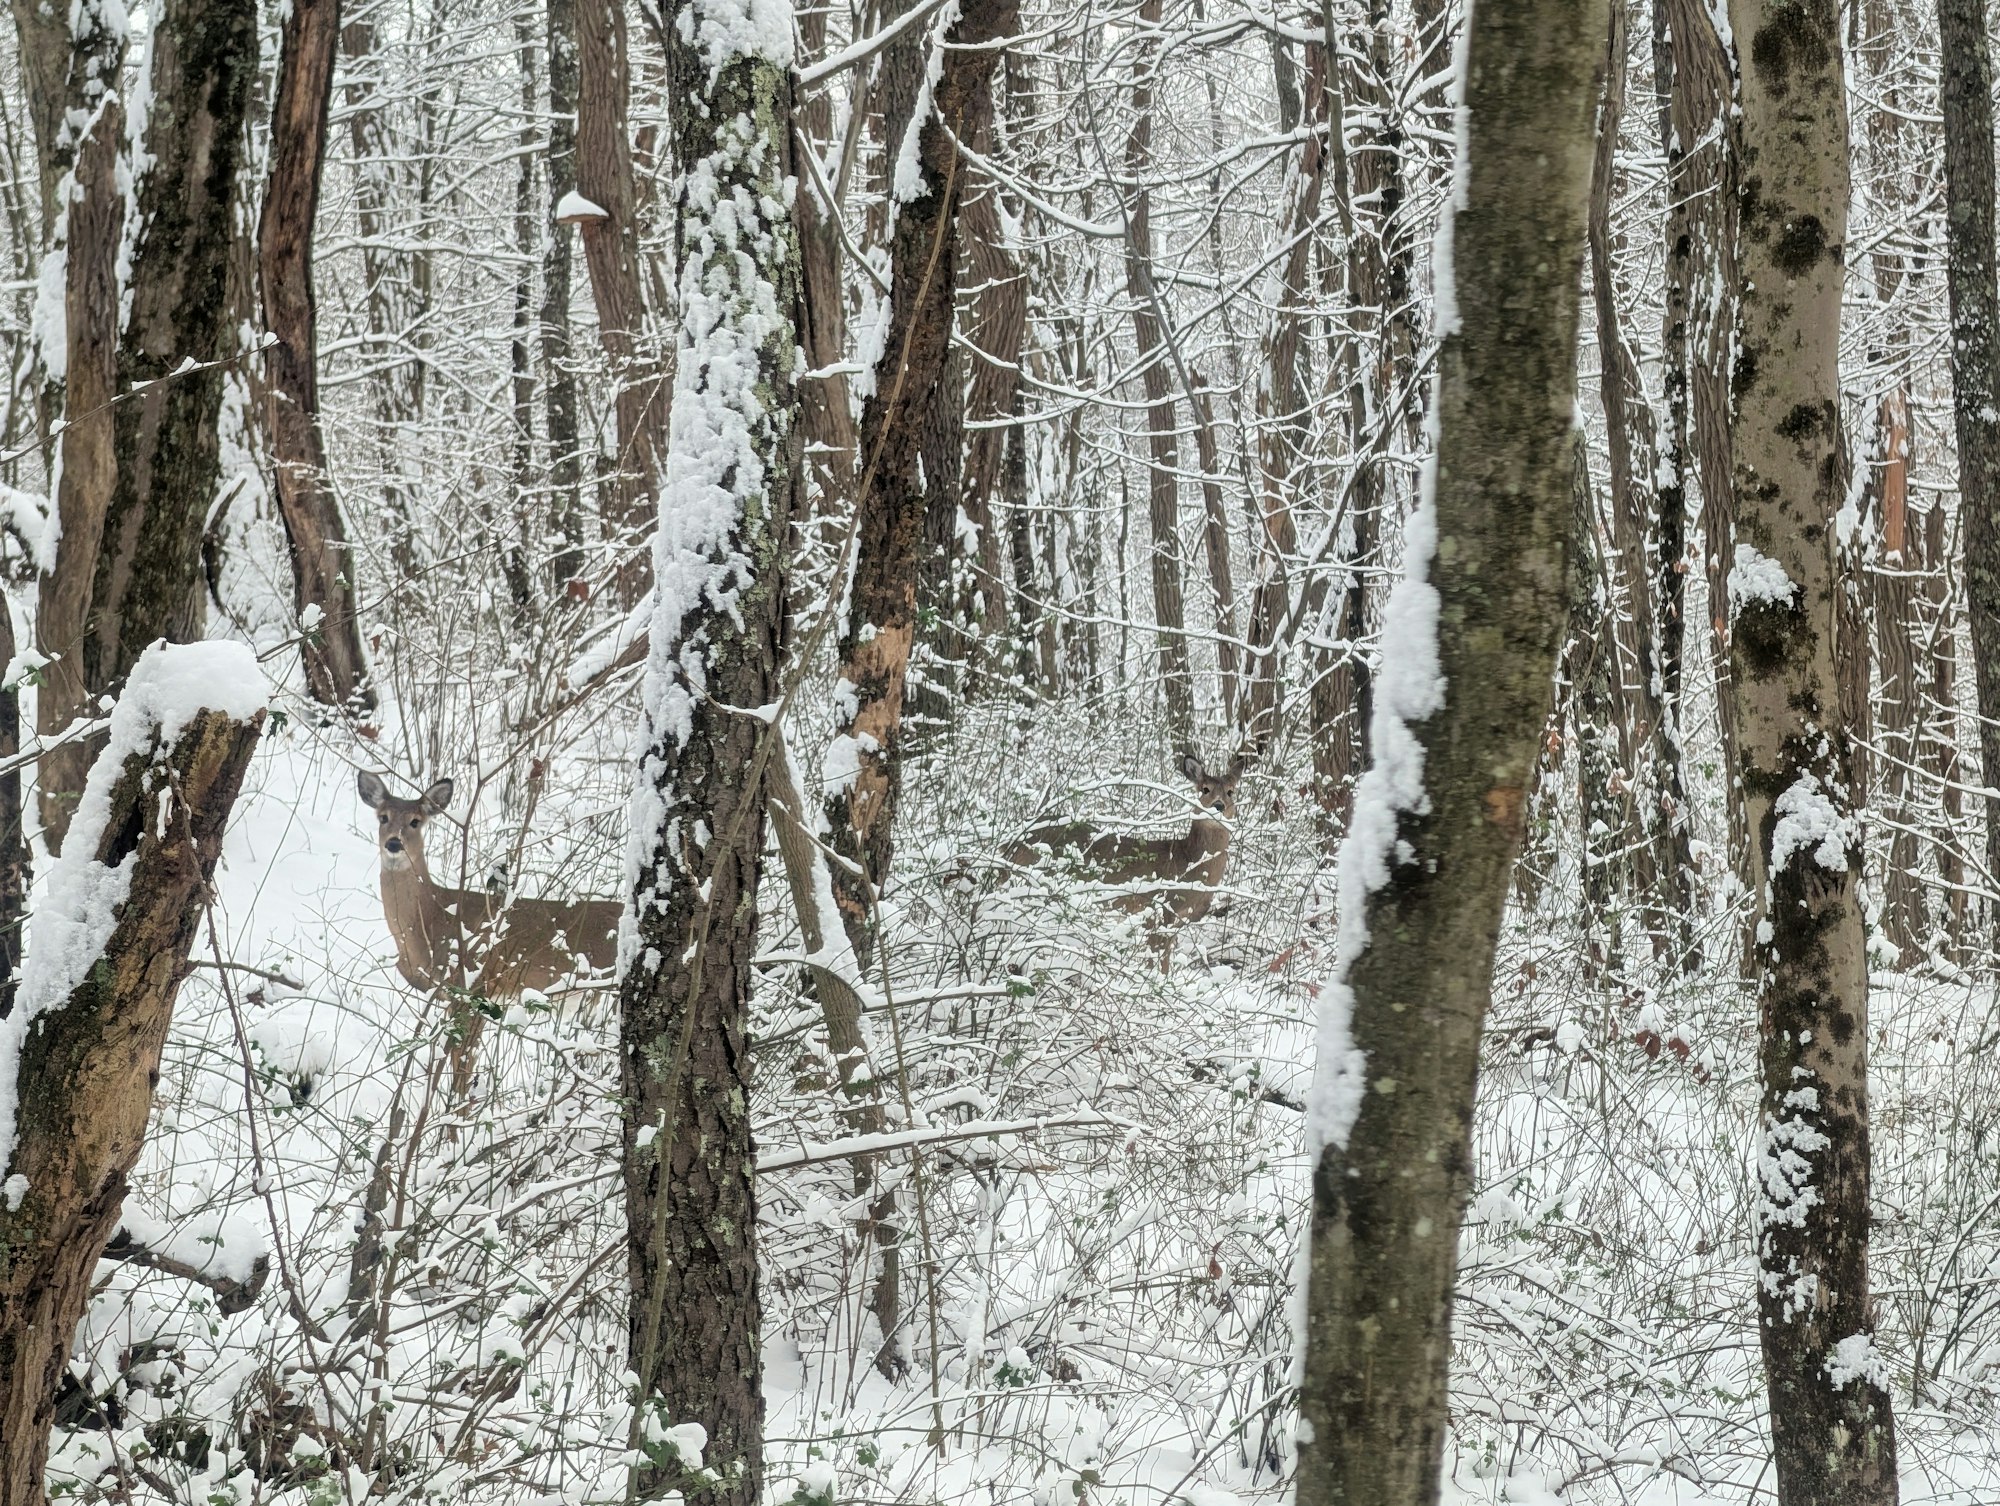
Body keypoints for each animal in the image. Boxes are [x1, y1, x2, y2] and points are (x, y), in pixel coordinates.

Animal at [1006, 750, 1244, 967]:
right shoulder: (1159, 910)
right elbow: (1158, 961)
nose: (1218, 806)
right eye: (1205, 789)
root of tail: (1009, 844)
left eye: (1231, 792)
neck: (1189, 861)